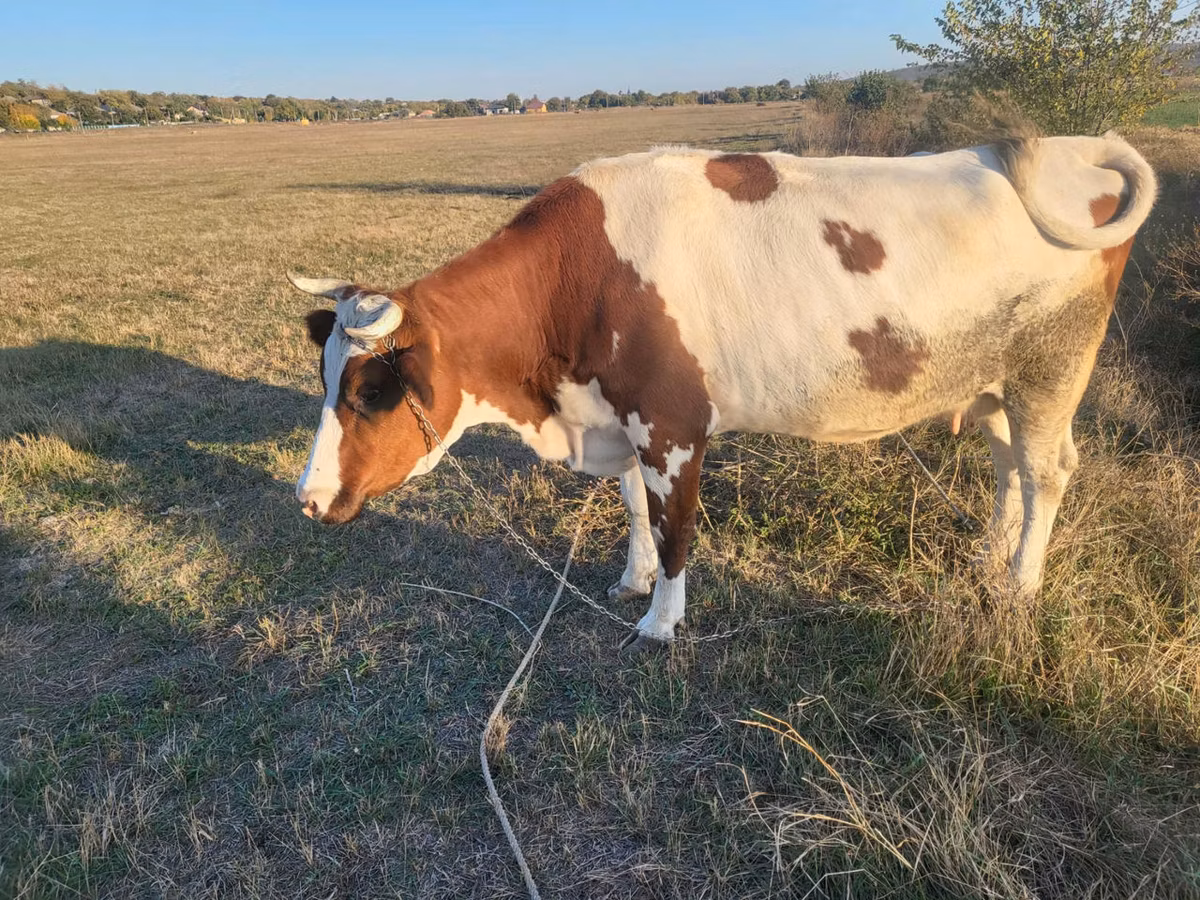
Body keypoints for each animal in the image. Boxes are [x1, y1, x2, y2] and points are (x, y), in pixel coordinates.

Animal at [290, 133, 1156, 651]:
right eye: (326, 376)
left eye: (371, 390)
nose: (308, 498)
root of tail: (1074, 148)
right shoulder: (624, 416)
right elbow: (636, 509)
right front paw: (633, 578)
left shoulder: (675, 424)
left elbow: (675, 527)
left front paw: (660, 622)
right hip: (995, 382)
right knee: (1011, 467)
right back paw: (987, 557)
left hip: (1051, 373)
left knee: (1048, 473)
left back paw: (1019, 586)